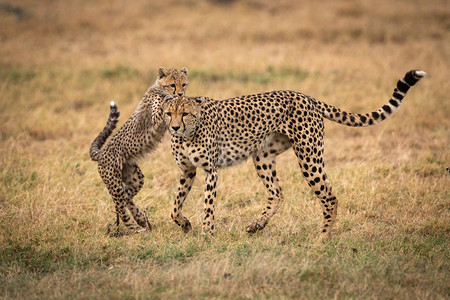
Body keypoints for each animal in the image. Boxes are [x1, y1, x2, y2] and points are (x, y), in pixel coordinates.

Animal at [90, 67, 189, 233]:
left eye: (184, 84)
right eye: (173, 85)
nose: (181, 94)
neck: (159, 88)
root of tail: (102, 153)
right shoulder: (157, 117)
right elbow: (162, 107)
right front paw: (168, 99)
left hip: (135, 178)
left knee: (126, 197)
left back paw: (141, 218)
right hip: (114, 182)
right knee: (120, 206)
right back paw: (135, 227)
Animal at [163, 69, 426, 238]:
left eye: (185, 114)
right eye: (168, 114)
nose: (174, 127)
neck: (188, 134)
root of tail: (305, 96)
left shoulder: (211, 171)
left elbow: (208, 206)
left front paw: (208, 235)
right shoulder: (187, 170)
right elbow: (174, 206)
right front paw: (185, 224)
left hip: (309, 156)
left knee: (329, 197)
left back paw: (321, 239)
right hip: (263, 156)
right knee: (277, 192)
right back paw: (257, 225)